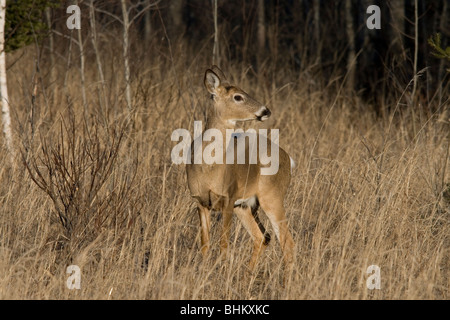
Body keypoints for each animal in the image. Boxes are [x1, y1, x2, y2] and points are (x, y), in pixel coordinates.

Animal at [186, 65, 296, 276]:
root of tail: (288, 158)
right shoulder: (200, 201)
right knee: (262, 237)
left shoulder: (228, 198)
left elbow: (223, 244)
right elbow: (205, 245)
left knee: (287, 242)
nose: (265, 110)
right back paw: (247, 277)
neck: (208, 169)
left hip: (272, 197)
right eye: (238, 96)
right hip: (246, 206)